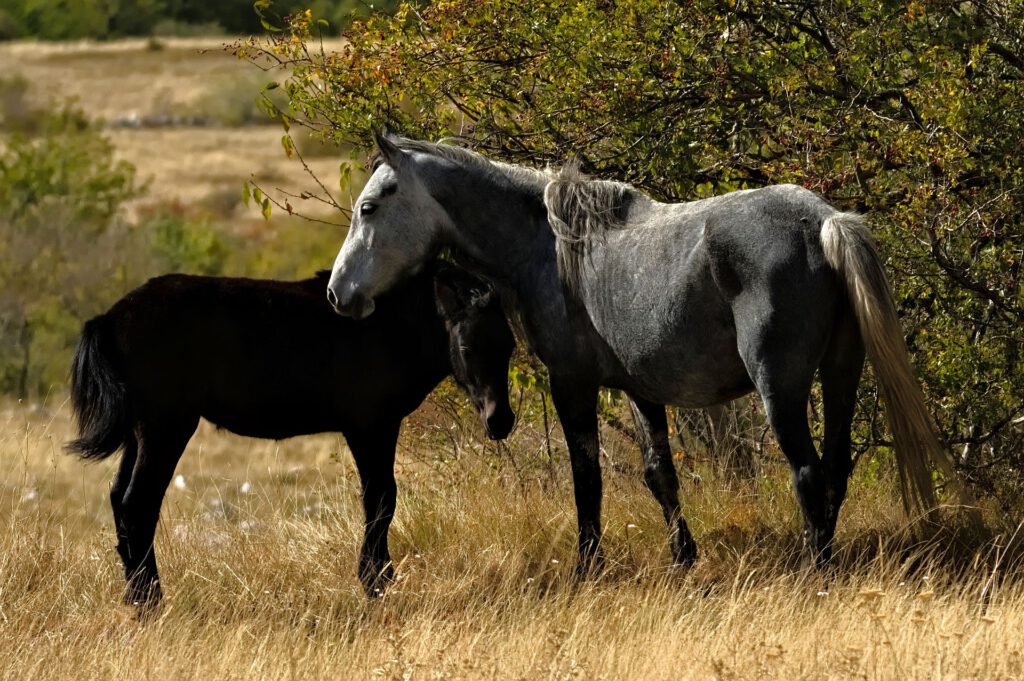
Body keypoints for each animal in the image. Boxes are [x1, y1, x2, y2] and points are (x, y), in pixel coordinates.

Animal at [68, 263, 516, 607]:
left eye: (510, 345)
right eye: (467, 346)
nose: (501, 421)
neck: (391, 322)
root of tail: (109, 320)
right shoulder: (370, 426)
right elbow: (380, 499)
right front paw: (375, 579)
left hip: (141, 433)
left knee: (119, 499)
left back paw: (135, 595)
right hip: (166, 428)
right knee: (138, 503)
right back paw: (150, 601)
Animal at [325, 132, 961, 572]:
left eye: (369, 208)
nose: (338, 293)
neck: (553, 246)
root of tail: (825, 222)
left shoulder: (572, 384)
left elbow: (587, 480)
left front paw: (587, 569)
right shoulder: (641, 389)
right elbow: (660, 475)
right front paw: (683, 558)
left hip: (779, 387)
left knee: (807, 473)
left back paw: (816, 571)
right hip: (840, 375)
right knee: (834, 469)